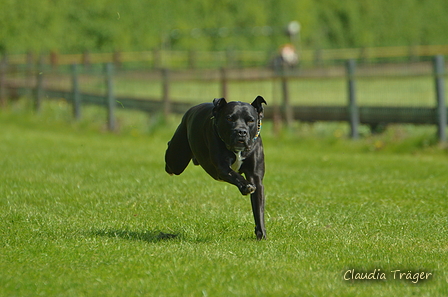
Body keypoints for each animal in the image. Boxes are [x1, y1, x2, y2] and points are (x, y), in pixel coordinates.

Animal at [166, 96, 268, 239]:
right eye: (229, 118)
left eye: (251, 120)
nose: (241, 132)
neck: (237, 151)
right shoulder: (222, 168)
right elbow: (236, 176)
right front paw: (246, 186)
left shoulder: (256, 177)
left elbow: (259, 209)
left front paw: (262, 235)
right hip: (176, 159)